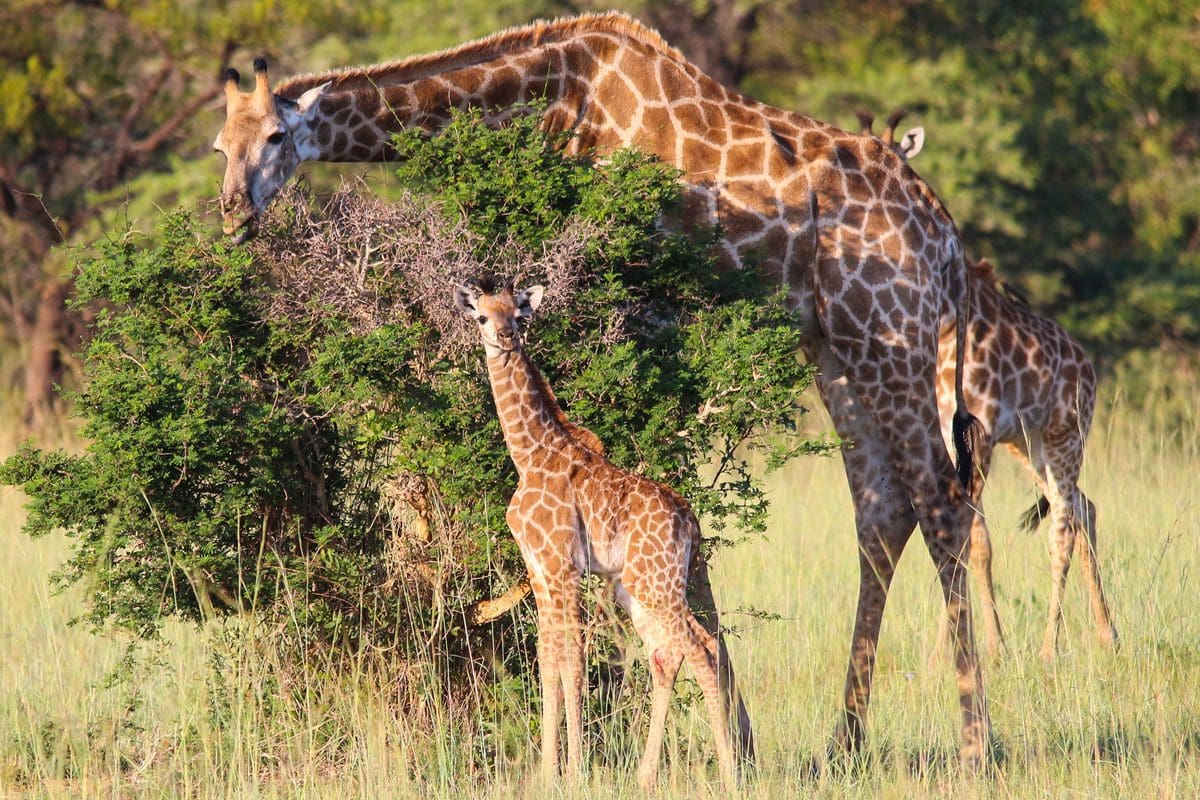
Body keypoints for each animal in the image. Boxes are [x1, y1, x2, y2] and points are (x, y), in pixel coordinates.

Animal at [452, 277, 753, 789]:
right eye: (482, 316)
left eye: (518, 314)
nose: (506, 338)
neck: (529, 455)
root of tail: (690, 521)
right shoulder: (538, 571)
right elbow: (546, 660)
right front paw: (546, 772)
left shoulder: (563, 567)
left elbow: (572, 659)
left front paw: (573, 771)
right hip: (634, 586)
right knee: (666, 654)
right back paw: (645, 777)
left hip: (657, 584)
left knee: (702, 649)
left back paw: (731, 776)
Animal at [932, 258, 1118, 660]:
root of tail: (1089, 368)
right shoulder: (948, 436)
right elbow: (963, 539)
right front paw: (948, 652)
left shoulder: (981, 435)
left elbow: (972, 540)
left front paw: (983, 647)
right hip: (1029, 447)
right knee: (1085, 508)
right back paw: (1107, 634)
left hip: (1065, 436)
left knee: (1062, 528)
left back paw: (1050, 649)